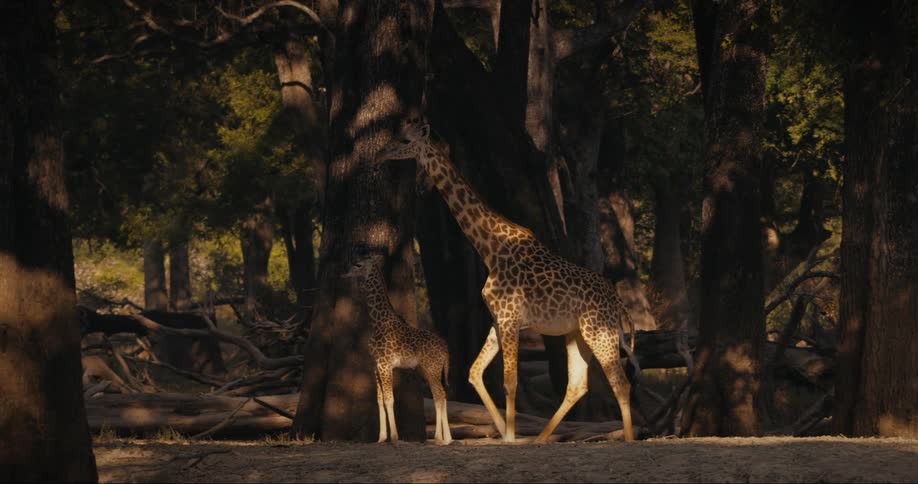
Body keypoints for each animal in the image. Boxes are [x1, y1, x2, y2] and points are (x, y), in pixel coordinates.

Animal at [342, 254, 453, 444]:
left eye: (358, 264)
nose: (345, 274)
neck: (378, 323)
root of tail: (446, 349)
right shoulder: (376, 366)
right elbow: (380, 400)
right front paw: (381, 438)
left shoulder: (386, 364)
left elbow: (389, 399)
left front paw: (394, 437)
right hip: (426, 369)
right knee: (441, 396)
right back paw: (446, 438)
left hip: (432, 368)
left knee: (440, 395)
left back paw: (441, 438)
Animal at [376, 119, 636, 442]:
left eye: (405, 139)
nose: (381, 153)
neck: (490, 248)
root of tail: (619, 304)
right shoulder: (498, 320)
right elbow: (475, 373)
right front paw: (504, 431)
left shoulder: (510, 318)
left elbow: (509, 381)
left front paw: (511, 436)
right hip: (577, 334)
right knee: (578, 385)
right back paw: (539, 439)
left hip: (600, 332)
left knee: (621, 383)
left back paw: (628, 439)